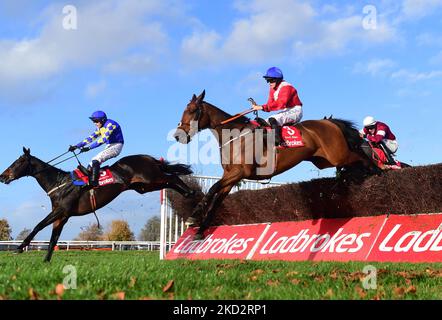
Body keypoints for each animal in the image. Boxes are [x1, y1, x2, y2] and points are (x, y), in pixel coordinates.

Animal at [0, 149, 195, 262]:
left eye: (17, 163)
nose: (3, 176)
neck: (59, 184)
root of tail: (147, 158)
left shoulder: (61, 210)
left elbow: (38, 226)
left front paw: (19, 247)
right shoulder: (62, 217)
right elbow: (53, 238)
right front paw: (46, 262)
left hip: (151, 177)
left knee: (172, 177)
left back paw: (191, 192)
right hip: (144, 186)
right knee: (169, 181)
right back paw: (188, 193)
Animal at [174, 90, 374, 238]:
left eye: (192, 110)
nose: (177, 135)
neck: (235, 136)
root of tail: (330, 122)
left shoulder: (239, 173)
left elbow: (212, 188)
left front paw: (193, 216)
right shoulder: (230, 176)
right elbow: (216, 198)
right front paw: (200, 231)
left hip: (338, 155)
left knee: (360, 156)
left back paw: (375, 170)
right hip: (323, 161)